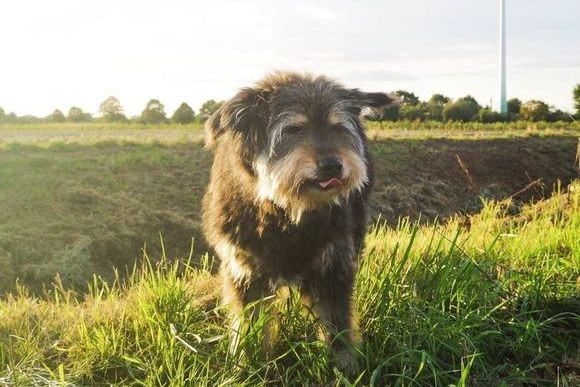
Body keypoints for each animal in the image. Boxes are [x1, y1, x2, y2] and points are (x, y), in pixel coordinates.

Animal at [202, 71, 396, 372]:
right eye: (293, 129)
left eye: (338, 127)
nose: (332, 165)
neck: (287, 215)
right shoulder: (245, 271)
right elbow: (248, 325)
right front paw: (247, 365)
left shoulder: (333, 265)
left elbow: (336, 324)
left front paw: (345, 367)